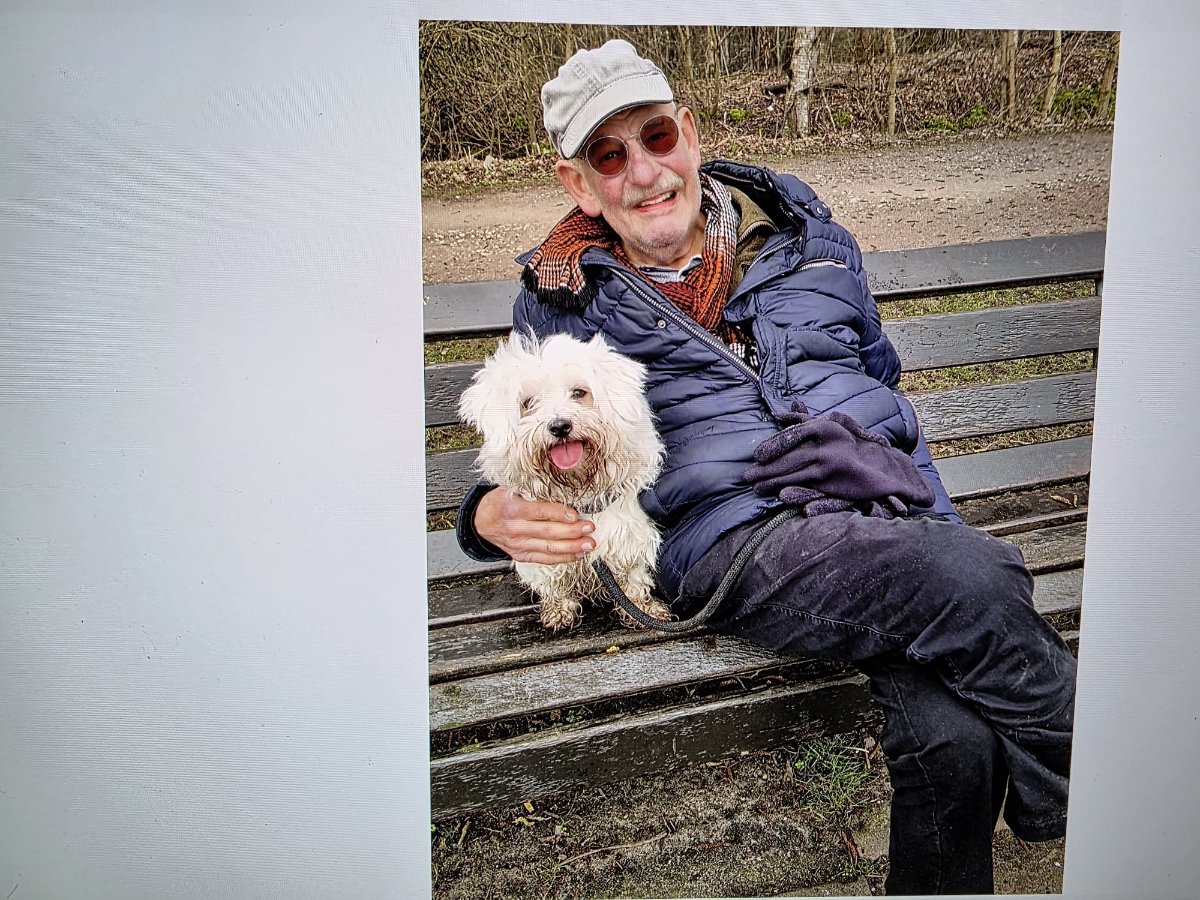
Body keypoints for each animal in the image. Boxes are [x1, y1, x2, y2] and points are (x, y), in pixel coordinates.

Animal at [458, 332, 672, 631]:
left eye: (579, 393)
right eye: (528, 403)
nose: (560, 426)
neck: (578, 490)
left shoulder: (628, 536)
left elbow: (633, 579)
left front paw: (643, 609)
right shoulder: (541, 554)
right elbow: (553, 582)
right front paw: (559, 609)